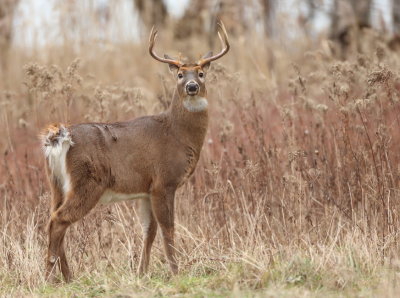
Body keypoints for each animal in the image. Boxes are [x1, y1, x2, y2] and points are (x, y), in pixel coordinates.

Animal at [41, 22, 230, 280]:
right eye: (180, 75)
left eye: (201, 74)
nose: (192, 87)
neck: (177, 134)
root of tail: (59, 137)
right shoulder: (164, 181)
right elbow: (168, 228)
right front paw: (176, 272)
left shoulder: (146, 189)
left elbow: (149, 231)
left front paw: (142, 272)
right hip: (87, 182)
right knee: (59, 220)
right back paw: (52, 277)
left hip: (57, 185)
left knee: (53, 218)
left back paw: (67, 277)